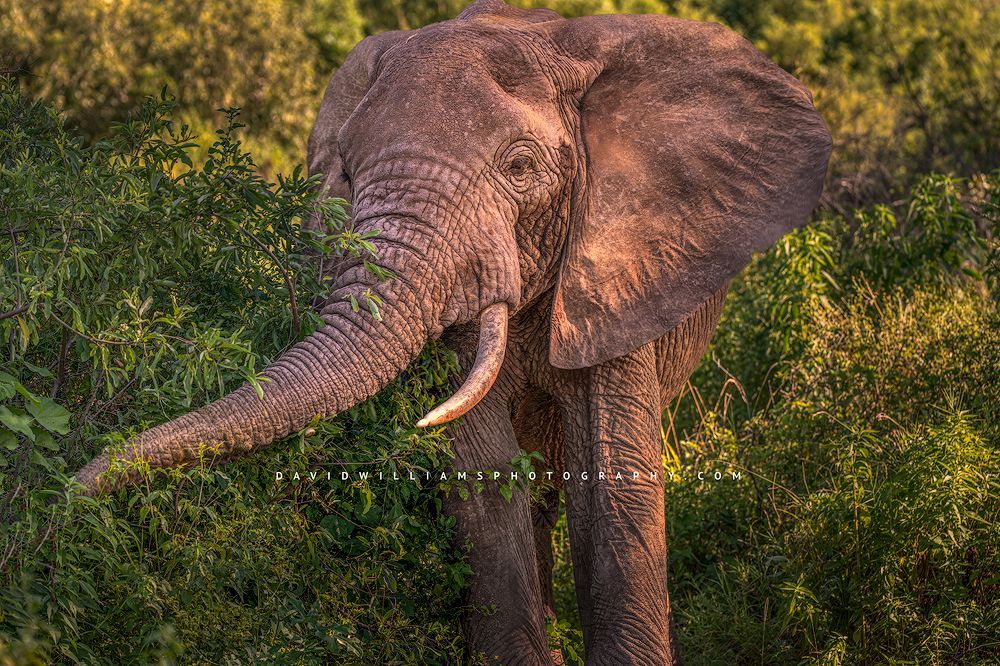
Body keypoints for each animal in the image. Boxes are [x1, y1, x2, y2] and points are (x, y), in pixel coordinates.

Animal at [73, 1, 831, 663]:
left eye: (520, 167)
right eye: (344, 170)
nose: (69, 495)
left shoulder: (617, 266)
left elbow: (613, 487)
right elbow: (484, 477)